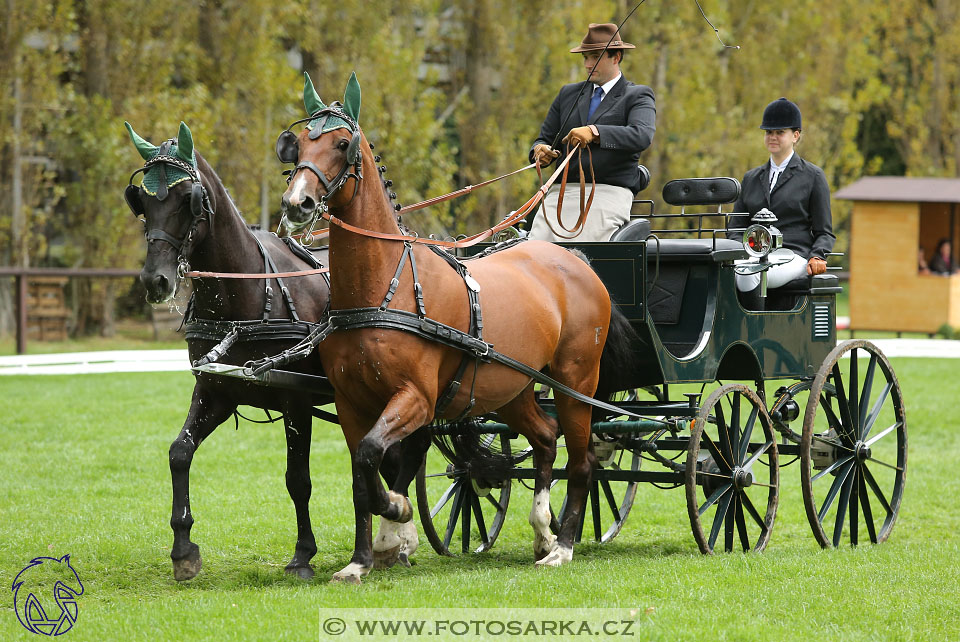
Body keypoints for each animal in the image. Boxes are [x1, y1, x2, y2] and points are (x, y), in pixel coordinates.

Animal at [124, 120, 416, 580]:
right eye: (142, 201)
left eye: (188, 199)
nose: (156, 280)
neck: (242, 295)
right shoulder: (216, 391)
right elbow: (179, 453)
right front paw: (183, 549)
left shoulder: (296, 402)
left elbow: (298, 479)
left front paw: (302, 554)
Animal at [276, 72, 632, 584]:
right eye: (301, 142)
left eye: (343, 144)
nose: (297, 203)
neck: (382, 289)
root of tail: (576, 260)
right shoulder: (349, 403)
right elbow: (362, 473)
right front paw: (361, 559)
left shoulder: (417, 399)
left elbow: (374, 457)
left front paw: (397, 513)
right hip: (512, 387)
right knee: (546, 438)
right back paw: (542, 530)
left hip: (576, 381)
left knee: (582, 460)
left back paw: (562, 546)